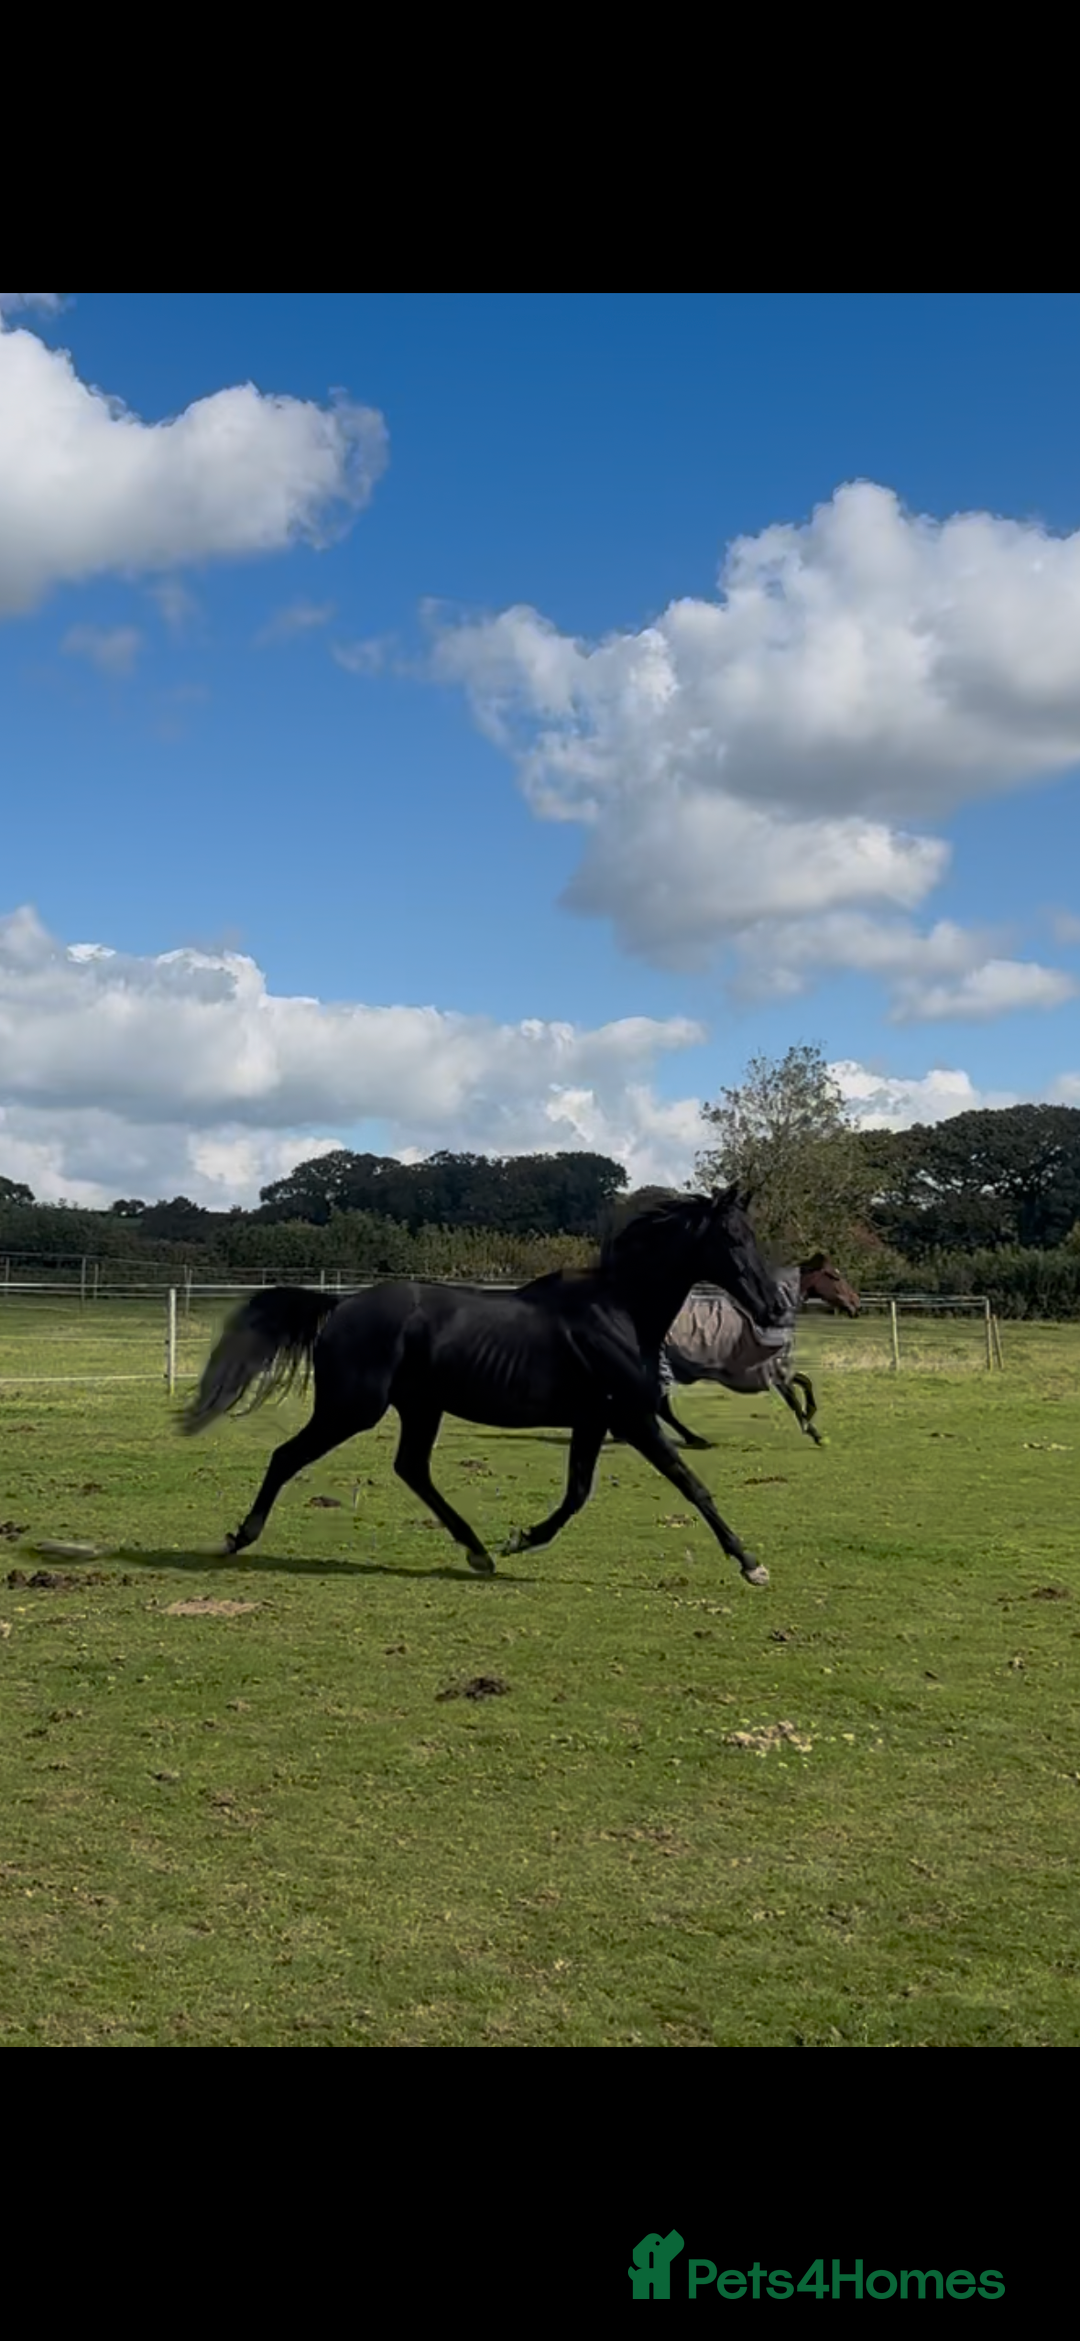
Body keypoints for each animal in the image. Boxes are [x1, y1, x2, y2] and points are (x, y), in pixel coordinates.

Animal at [180, 1187, 788, 1585]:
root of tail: (340, 1305)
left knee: (411, 1469)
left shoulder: (595, 1421)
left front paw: (520, 1539)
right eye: (731, 1237)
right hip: (353, 1408)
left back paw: (477, 1552)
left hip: (419, 1408)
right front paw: (751, 1563)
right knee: (287, 1456)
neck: (619, 1311)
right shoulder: (632, 1418)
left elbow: (577, 1494)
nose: (774, 1307)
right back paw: (239, 1537)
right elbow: (692, 1484)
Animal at [653, 1253, 860, 1451]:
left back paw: (692, 1439)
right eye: (834, 1277)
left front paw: (810, 1417)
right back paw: (695, 1439)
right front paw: (815, 1434)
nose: (856, 1303)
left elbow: (805, 1382)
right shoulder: (773, 1371)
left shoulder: (774, 1370)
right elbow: (794, 1398)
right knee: (662, 1407)